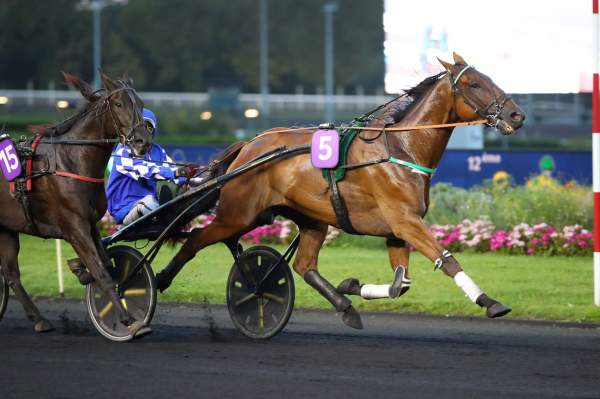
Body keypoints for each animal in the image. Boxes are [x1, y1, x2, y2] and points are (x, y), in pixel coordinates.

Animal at [1, 72, 155, 338]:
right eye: (118, 104)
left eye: (141, 103)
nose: (142, 141)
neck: (71, 161)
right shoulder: (74, 227)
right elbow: (101, 272)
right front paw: (127, 319)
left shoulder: (91, 223)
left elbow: (106, 264)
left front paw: (81, 272)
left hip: (7, 229)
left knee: (12, 274)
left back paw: (40, 320)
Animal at [158, 54, 524, 330]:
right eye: (475, 84)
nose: (516, 114)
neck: (401, 149)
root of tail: (249, 145)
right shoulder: (405, 222)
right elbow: (446, 260)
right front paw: (490, 302)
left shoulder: (397, 230)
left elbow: (400, 285)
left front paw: (352, 286)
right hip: (238, 215)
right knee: (195, 240)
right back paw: (159, 279)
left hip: (309, 219)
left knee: (304, 265)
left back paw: (341, 305)